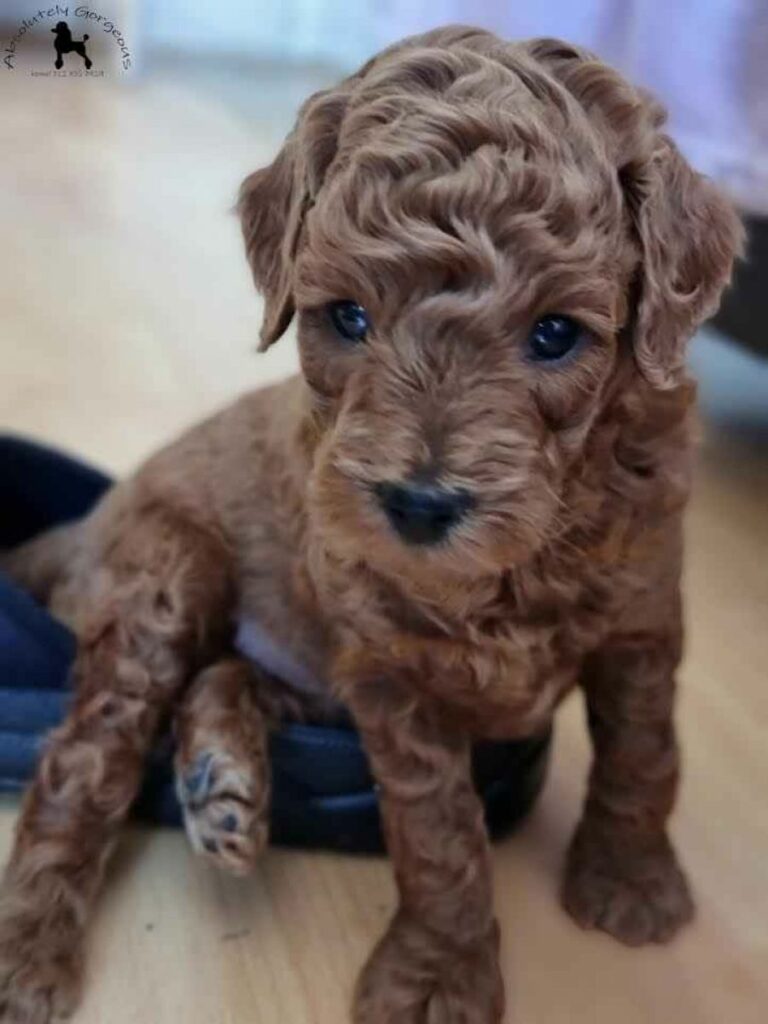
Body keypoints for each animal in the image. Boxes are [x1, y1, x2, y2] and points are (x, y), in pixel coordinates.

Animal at [0, 26, 741, 1024]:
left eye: (556, 335)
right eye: (347, 317)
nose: (419, 505)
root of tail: (81, 530)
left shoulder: (641, 615)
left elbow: (642, 750)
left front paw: (630, 881)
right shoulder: (393, 668)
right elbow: (439, 834)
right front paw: (438, 977)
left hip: (304, 668)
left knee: (220, 677)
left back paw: (222, 782)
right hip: (167, 574)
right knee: (86, 759)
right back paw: (28, 952)